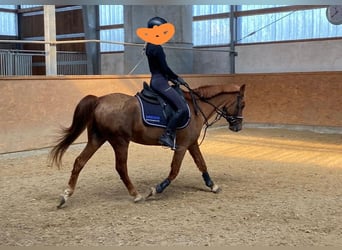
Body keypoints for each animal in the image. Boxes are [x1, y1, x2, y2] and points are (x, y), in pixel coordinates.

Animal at [49, 81, 244, 207]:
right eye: (242, 104)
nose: (238, 127)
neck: (195, 108)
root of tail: (99, 100)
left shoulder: (191, 143)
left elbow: (202, 164)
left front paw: (213, 185)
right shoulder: (182, 146)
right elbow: (174, 170)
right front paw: (155, 190)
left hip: (97, 139)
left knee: (79, 162)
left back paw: (65, 195)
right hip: (120, 141)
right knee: (121, 167)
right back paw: (136, 195)